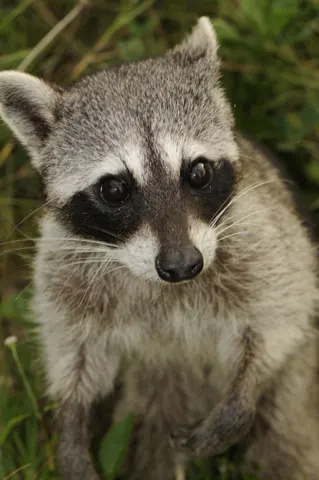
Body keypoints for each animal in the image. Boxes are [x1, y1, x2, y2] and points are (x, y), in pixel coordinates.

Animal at [0, 15, 319, 480]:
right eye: (114, 189)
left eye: (198, 172)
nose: (183, 265)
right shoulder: (64, 264)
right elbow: (77, 352)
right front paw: (71, 420)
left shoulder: (261, 233)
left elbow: (282, 308)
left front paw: (244, 391)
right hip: (155, 390)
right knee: (149, 441)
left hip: (297, 381)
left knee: (288, 440)